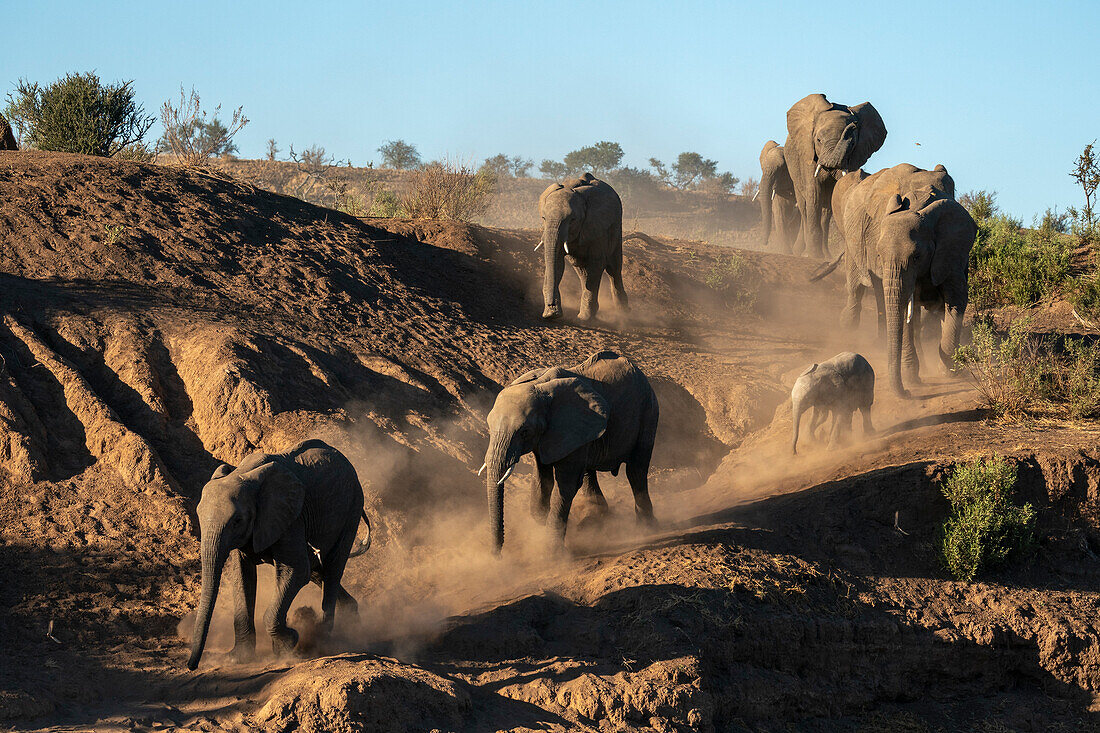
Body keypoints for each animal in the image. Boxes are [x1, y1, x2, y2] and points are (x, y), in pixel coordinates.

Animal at [189, 440, 374, 669]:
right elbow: (242, 576)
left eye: (237, 521)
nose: (192, 666)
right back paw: (352, 622)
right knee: (318, 571)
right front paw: (238, 659)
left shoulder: (291, 518)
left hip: (352, 509)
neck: (244, 474)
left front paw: (290, 642)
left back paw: (323, 643)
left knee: (332, 569)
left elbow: (296, 571)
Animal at [479, 347, 651, 548]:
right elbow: (542, 478)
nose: (496, 553)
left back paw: (646, 529)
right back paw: (596, 520)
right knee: (589, 472)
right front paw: (542, 520)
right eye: (489, 425)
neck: (540, 385)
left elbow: (566, 484)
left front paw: (551, 551)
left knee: (636, 471)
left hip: (649, 409)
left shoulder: (571, 424)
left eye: (524, 432)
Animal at [539, 173, 629, 319]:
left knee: (614, 269)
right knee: (581, 269)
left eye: (572, 220)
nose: (550, 304)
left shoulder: (597, 226)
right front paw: (552, 314)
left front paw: (585, 318)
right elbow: (557, 263)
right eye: (543, 218)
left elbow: (596, 263)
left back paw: (623, 311)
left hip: (616, 228)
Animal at [787, 94, 888, 258]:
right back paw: (801, 252)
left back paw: (826, 254)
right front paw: (812, 256)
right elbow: (814, 194)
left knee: (826, 210)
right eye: (818, 140)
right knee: (804, 206)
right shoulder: (807, 154)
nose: (853, 125)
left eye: (853, 144)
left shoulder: (854, 157)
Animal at [827, 162, 976, 396]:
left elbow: (955, 301)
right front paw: (913, 377)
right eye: (880, 254)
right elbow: (904, 309)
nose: (905, 392)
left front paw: (948, 371)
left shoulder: (952, 249)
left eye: (917, 256)